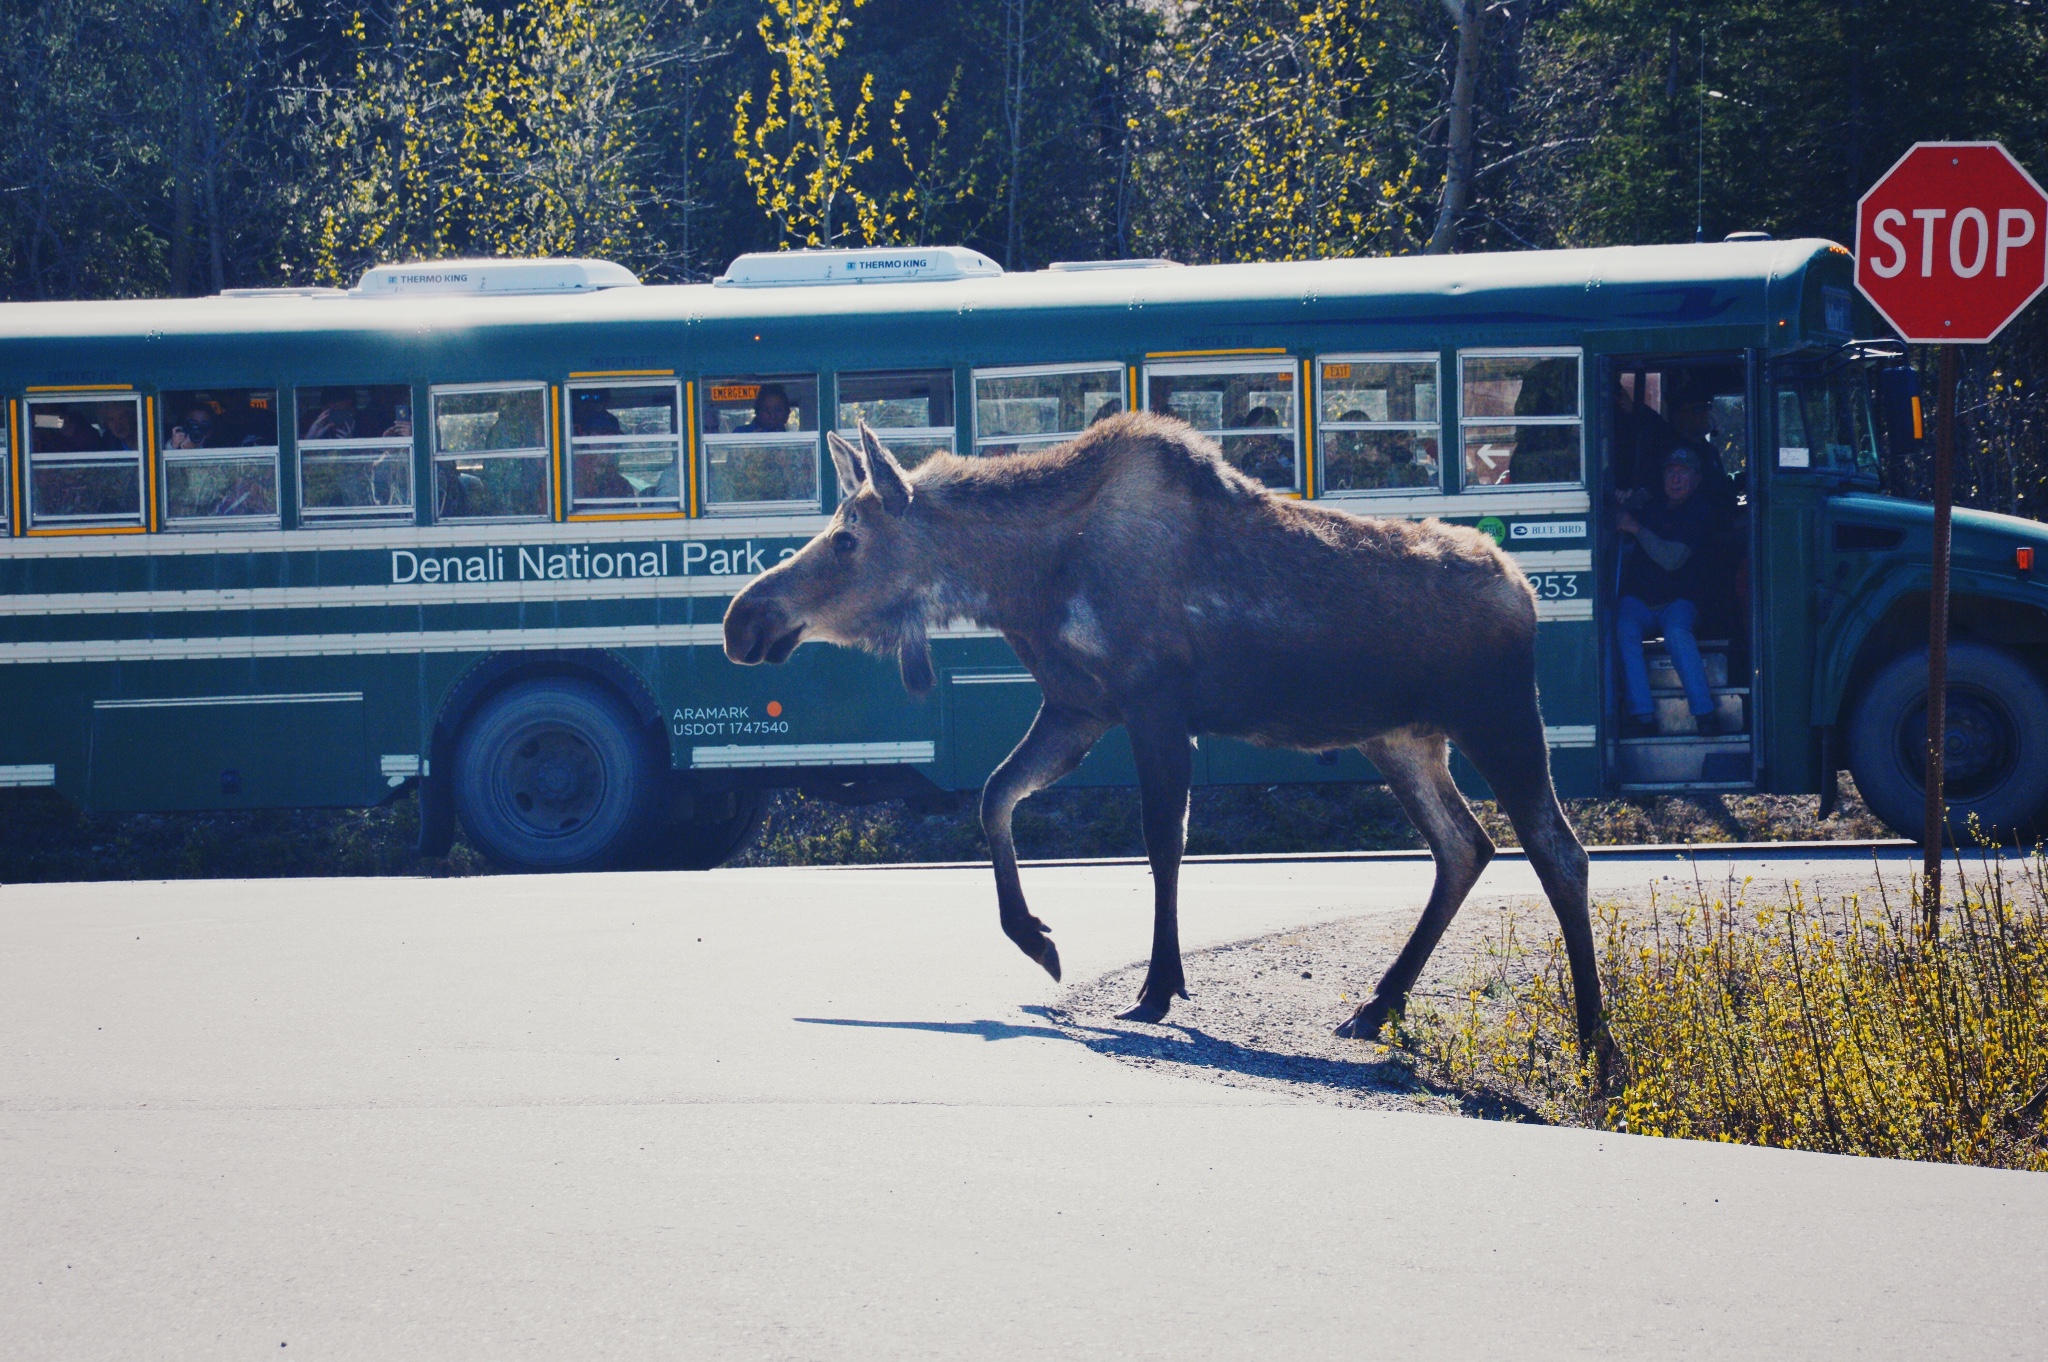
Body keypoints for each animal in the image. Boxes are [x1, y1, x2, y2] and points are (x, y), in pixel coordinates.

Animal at [720, 411, 1597, 1040]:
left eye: (846, 537)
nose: (741, 619)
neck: (1020, 585)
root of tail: (1525, 589)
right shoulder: (1080, 707)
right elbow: (997, 797)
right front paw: (1037, 939)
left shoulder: (1154, 706)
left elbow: (1162, 842)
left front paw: (1158, 986)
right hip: (1403, 738)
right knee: (1465, 846)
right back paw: (1378, 1005)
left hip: (1499, 716)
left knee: (1559, 849)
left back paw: (1595, 1040)